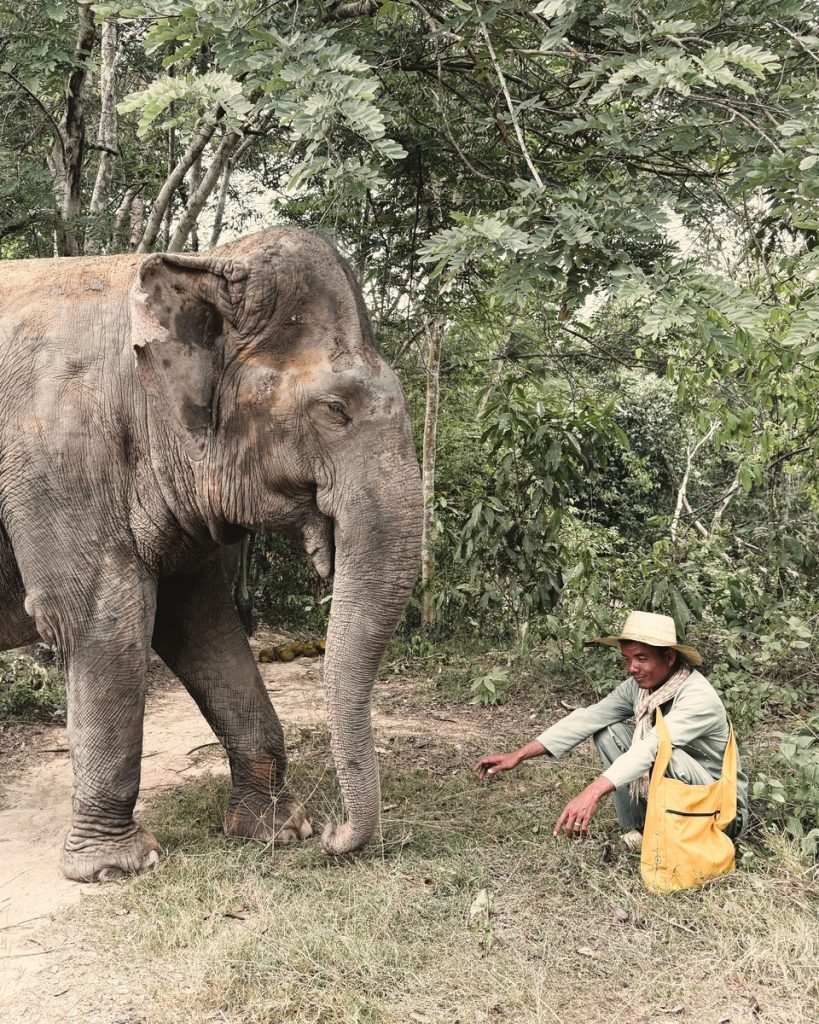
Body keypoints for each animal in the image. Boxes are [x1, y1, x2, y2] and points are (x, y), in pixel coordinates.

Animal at [0, 228, 422, 881]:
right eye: (336, 410)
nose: (335, 836)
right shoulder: (57, 461)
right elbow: (102, 621)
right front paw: (117, 867)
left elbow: (201, 622)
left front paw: (278, 830)